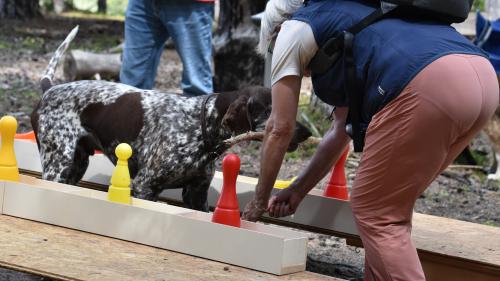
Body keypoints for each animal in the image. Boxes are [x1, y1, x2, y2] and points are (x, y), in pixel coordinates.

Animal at [31, 26, 310, 210]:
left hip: (75, 166)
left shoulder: (196, 194)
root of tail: (49, 89)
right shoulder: (145, 186)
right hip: (58, 164)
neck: (201, 125)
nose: (307, 132)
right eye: (271, 110)